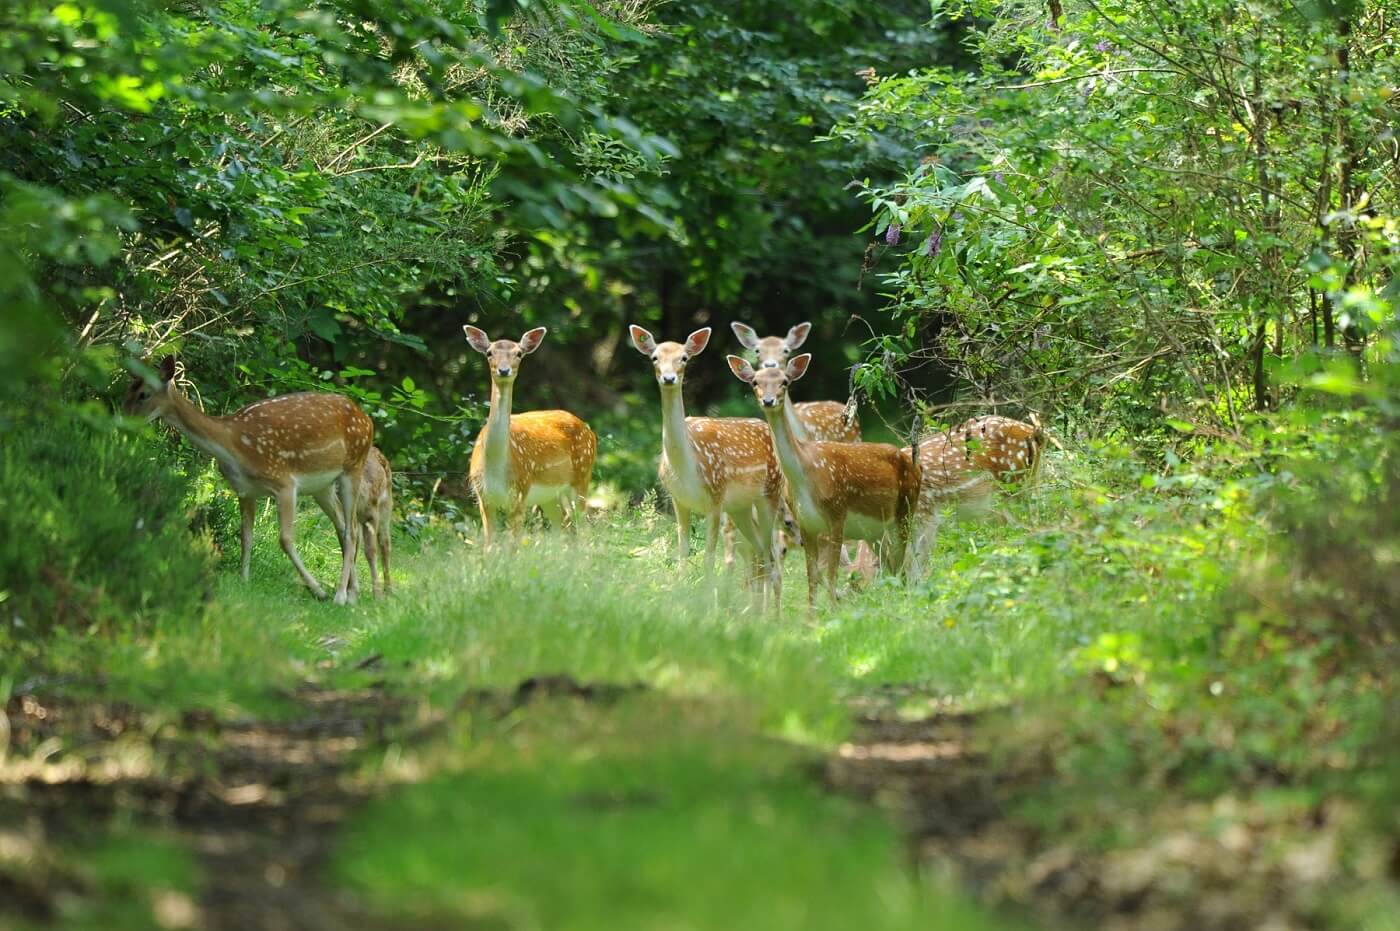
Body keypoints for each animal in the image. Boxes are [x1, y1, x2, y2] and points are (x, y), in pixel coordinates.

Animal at [123, 354, 372, 602]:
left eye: (143, 394)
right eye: (129, 388)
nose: (124, 420)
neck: (233, 445)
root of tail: (367, 419)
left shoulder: (284, 482)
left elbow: (285, 539)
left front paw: (317, 589)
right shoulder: (244, 490)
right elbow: (246, 536)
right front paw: (244, 581)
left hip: (354, 466)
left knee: (352, 530)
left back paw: (340, 595)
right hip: (322, 487)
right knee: (342, 526)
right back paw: (353, 593)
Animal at [459, 324, 590, 548]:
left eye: (519, 353)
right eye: (489, 352)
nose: (504, 370)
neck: (495, 467)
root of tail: (589, 429)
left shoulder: (520, 492)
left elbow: (513, 547)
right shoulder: (482, 495)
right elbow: (488, 546)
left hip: (582, 476)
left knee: (585, 526)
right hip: (550, 496)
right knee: (565, 526)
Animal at [635, 326, 789, 610]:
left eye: (684, 358)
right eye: (654, 357)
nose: (669, 378)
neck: (687, 466)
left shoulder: (716, 498)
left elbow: (708, 555)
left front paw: (706, 603)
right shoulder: (678, 500)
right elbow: (683, 552)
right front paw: (681, 596)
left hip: (770, 495)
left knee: (770, 555)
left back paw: (771, 613)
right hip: (740, 507)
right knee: (758, 551)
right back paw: (754, 612)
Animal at [728, 352, 924, 607]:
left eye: (785, 382)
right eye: (755, 382)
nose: (769, 401)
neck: (805, 475)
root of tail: (916, 466)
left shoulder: (837, 514)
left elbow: (830, 575)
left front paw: (833, 610)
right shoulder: (807, 525)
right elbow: (812, 578)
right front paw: (813, 615)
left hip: (906, 510)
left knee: (902, 564)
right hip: (875, 530)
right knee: (891, 565)